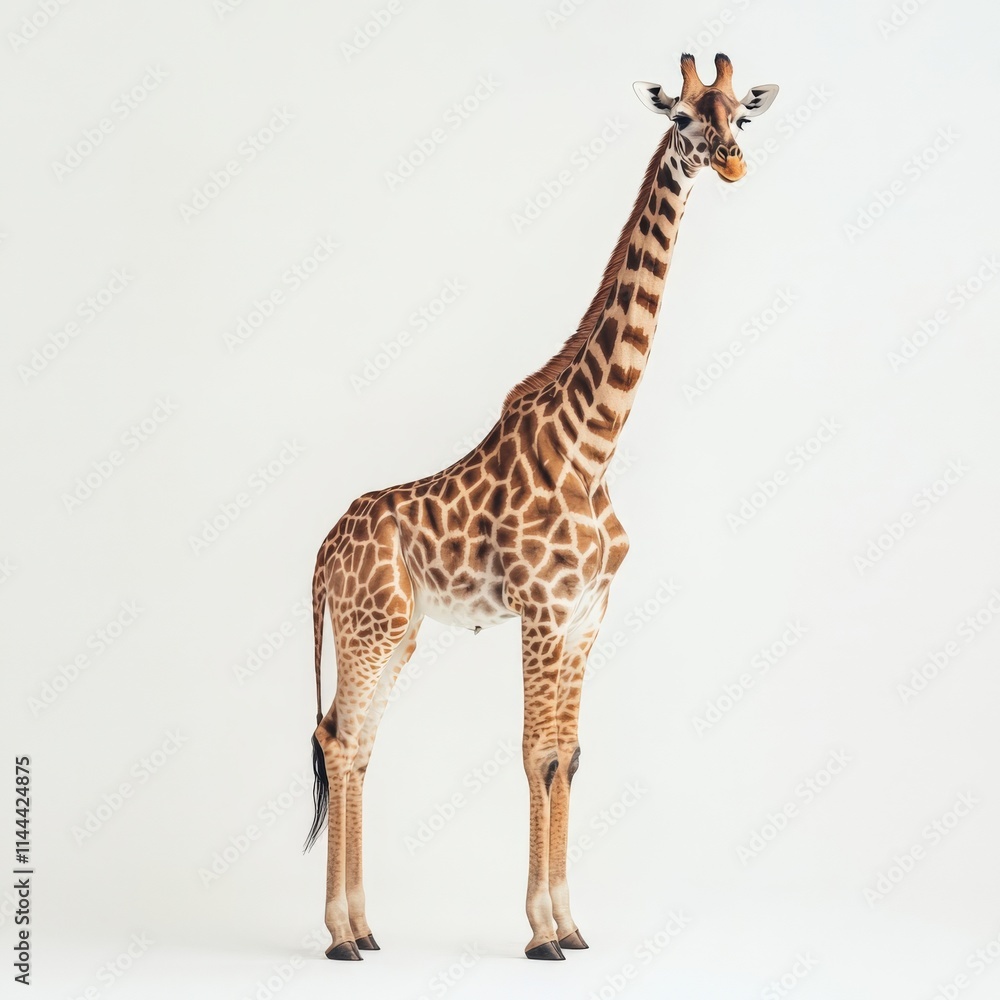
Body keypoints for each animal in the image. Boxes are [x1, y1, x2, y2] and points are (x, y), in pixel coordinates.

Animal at [303, 52, 779, 960]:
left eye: (742, 113)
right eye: (683, 118)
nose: (736, 163)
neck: (595, 447)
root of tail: (317, 557)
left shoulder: (588, 614)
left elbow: (570, 754)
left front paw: (571, 923)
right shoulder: (543, 609)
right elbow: (536, 756)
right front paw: (539, 934)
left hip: (394, 631)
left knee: (357, 743)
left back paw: (367, 930)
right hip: (368, 629)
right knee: (343, 744)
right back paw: (340, 936)